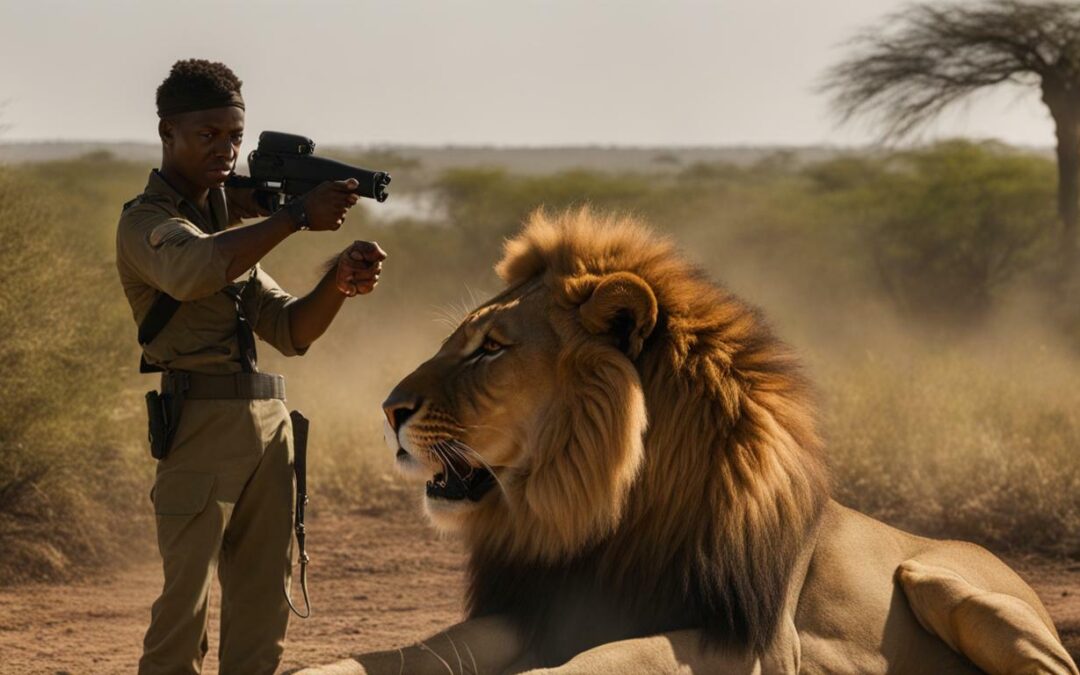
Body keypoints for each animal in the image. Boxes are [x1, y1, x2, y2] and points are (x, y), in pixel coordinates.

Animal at [301, 208, 1078, 674]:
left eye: (491, 348)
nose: (389, 410)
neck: (603, 513)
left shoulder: (751, 642)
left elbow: (604, 660)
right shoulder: (536, 609)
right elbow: (405, 652)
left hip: (936, 578)